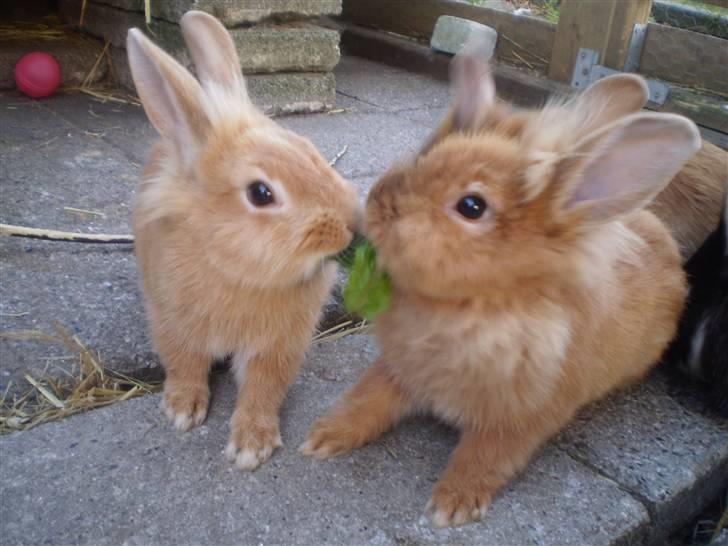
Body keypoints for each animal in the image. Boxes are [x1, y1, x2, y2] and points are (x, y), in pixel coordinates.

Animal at [129, 10, 362, 468]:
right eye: (260, 193)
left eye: (309, 149)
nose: (351, 222)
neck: (235, 269)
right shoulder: (172, 322)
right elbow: (184, 365)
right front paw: (182, 409)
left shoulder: (276, 348)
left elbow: (262, 390)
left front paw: (252, 445)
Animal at [302, 43, 700, 524]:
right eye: (424, 155)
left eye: (472, 206)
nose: (379, 203)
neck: (472, 306)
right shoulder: (398, 371)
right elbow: (366, 399)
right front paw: (323, 437)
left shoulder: (520, 419)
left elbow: (484, 457)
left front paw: (451, 506)